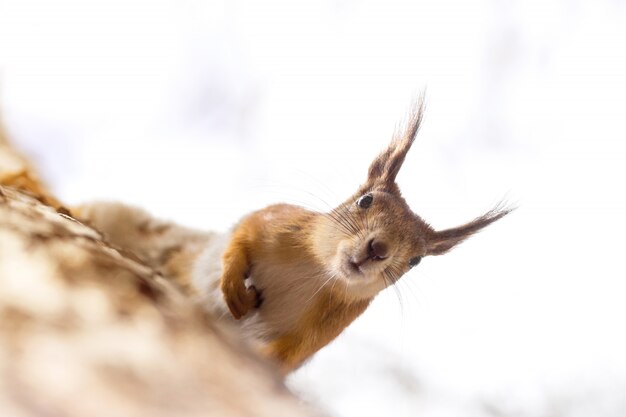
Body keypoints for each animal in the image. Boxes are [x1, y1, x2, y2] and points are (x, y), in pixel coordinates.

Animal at [73, 101, 510, 374]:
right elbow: (241, 237)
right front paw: (233, 287)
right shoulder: (278, 221)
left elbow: (289, 354)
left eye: (417, 260)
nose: (378, 250)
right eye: (365, 200)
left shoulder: (327, 326)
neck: (316, 273)